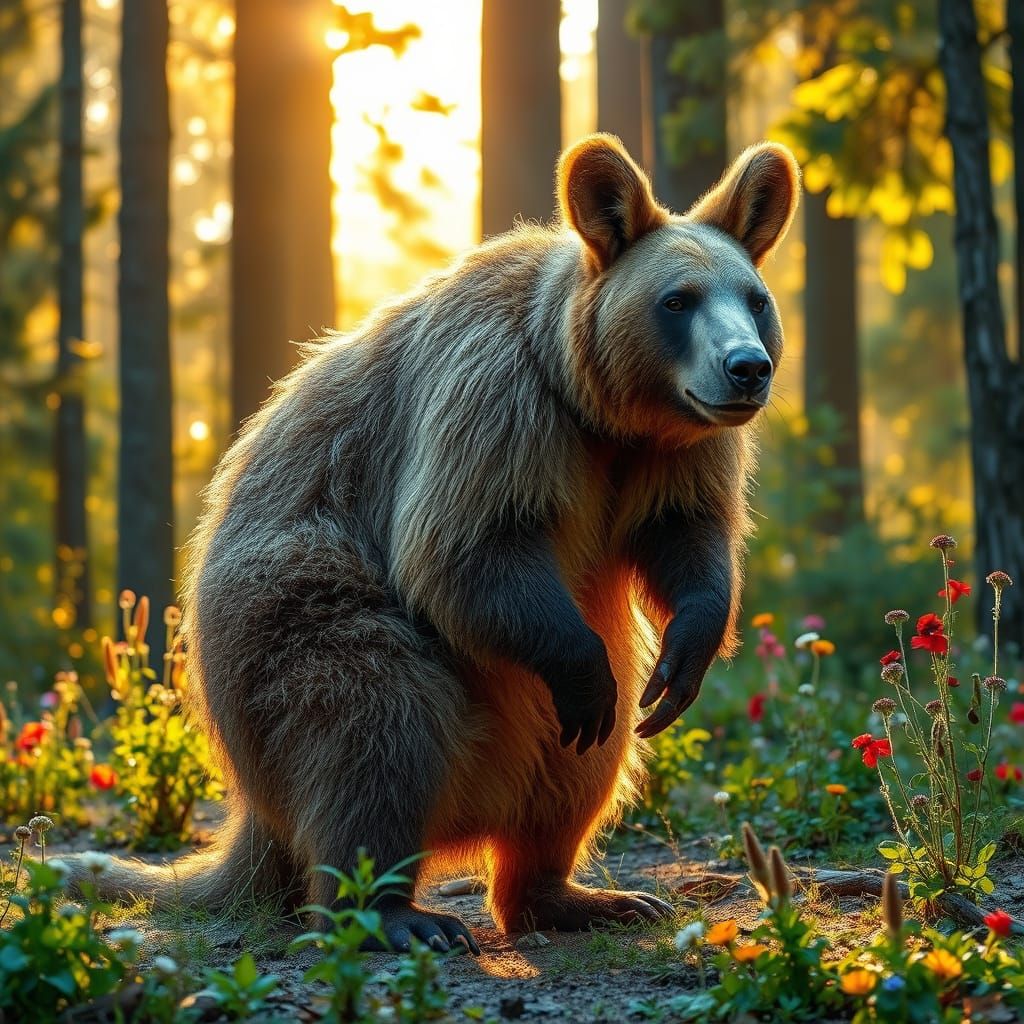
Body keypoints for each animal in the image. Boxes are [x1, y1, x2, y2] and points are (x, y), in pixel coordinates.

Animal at [73, 134, 799, 954]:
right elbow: (464, 550)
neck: (598, 408)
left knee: (582, 768)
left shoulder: (670, 457)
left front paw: (680, 665)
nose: (746, 368)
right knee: (378, 721)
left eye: (754, 298)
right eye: (677, 300)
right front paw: (588, 676)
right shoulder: (495, 407)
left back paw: (582, 895)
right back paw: (398, 913)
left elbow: (687, 544)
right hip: (290, 626)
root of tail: (253, 808)